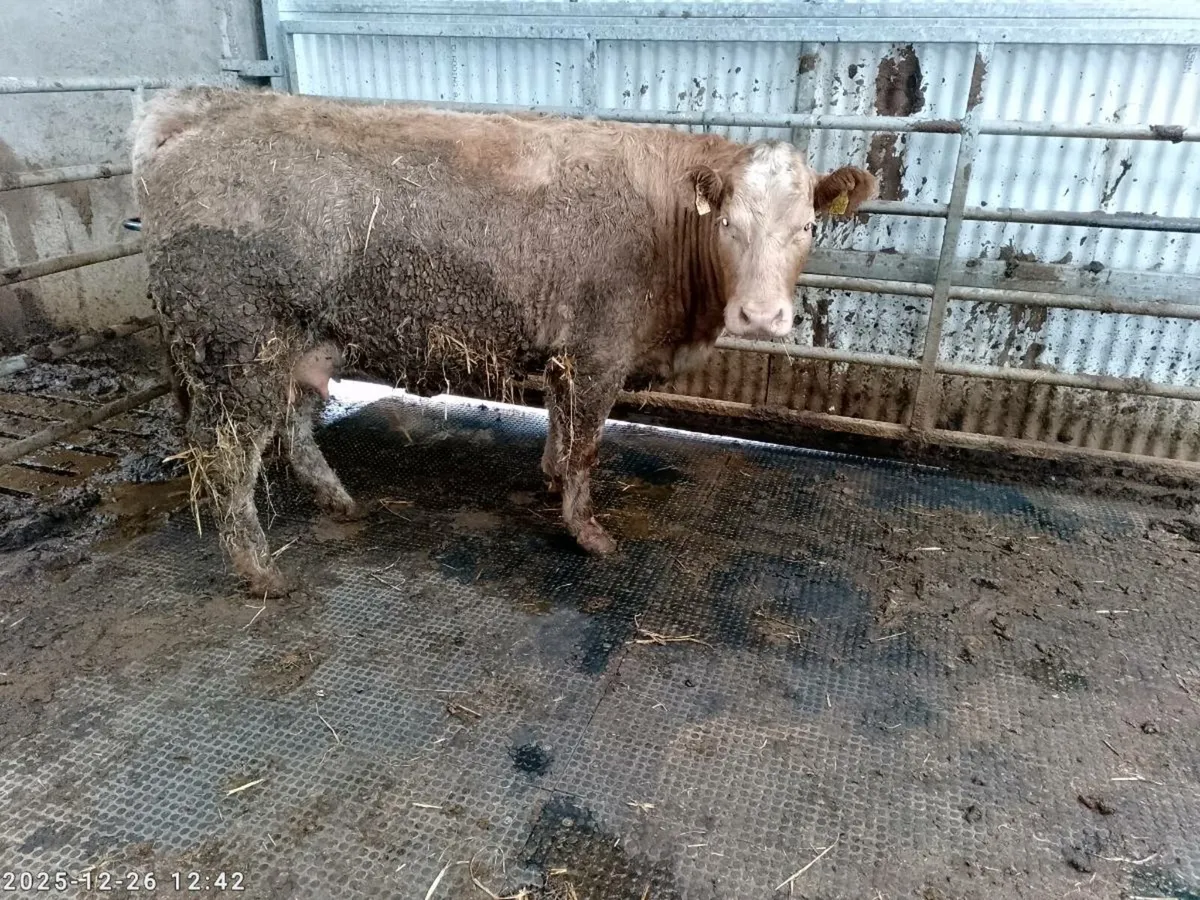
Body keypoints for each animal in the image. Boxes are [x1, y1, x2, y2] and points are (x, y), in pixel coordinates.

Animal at [132, 87, 876, 596]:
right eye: (728, 223)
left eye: (807, 226)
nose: (761, 315)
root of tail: (200, 111)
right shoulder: (598, 353)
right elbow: (587, 446)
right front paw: (587, 532)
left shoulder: (565, 355)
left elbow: (558, 426)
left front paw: (549, 478)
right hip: (238, 347)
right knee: (228, 456)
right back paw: (257, 570)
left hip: (304, 343)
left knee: (293, 427)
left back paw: (337, 501)